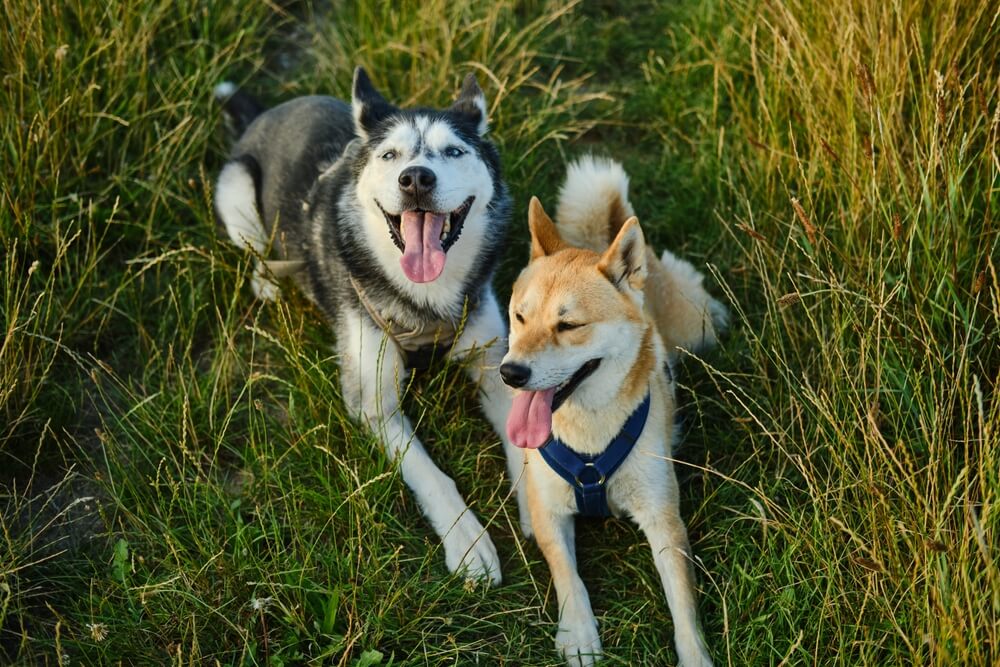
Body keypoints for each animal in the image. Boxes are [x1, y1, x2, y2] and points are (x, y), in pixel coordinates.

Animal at [211, 69, 524, 584]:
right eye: (390, 155)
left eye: (454, 151)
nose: (415, 178)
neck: (426, 300)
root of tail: (266, 111)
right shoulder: (374, 405)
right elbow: (432, 475)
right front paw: (468, 541)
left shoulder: (492, 360)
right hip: (235, 191)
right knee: (254, 249)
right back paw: (267, 282)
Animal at [504, 158, 724, 667]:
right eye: (519, 317)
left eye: (569, 325)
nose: (510, 373)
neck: (590, 435)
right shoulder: (550, 510)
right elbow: (568, 575)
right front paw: (580, 634)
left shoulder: (663, 517)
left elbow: (683, 602)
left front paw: (694, 655)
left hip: (696, 325)